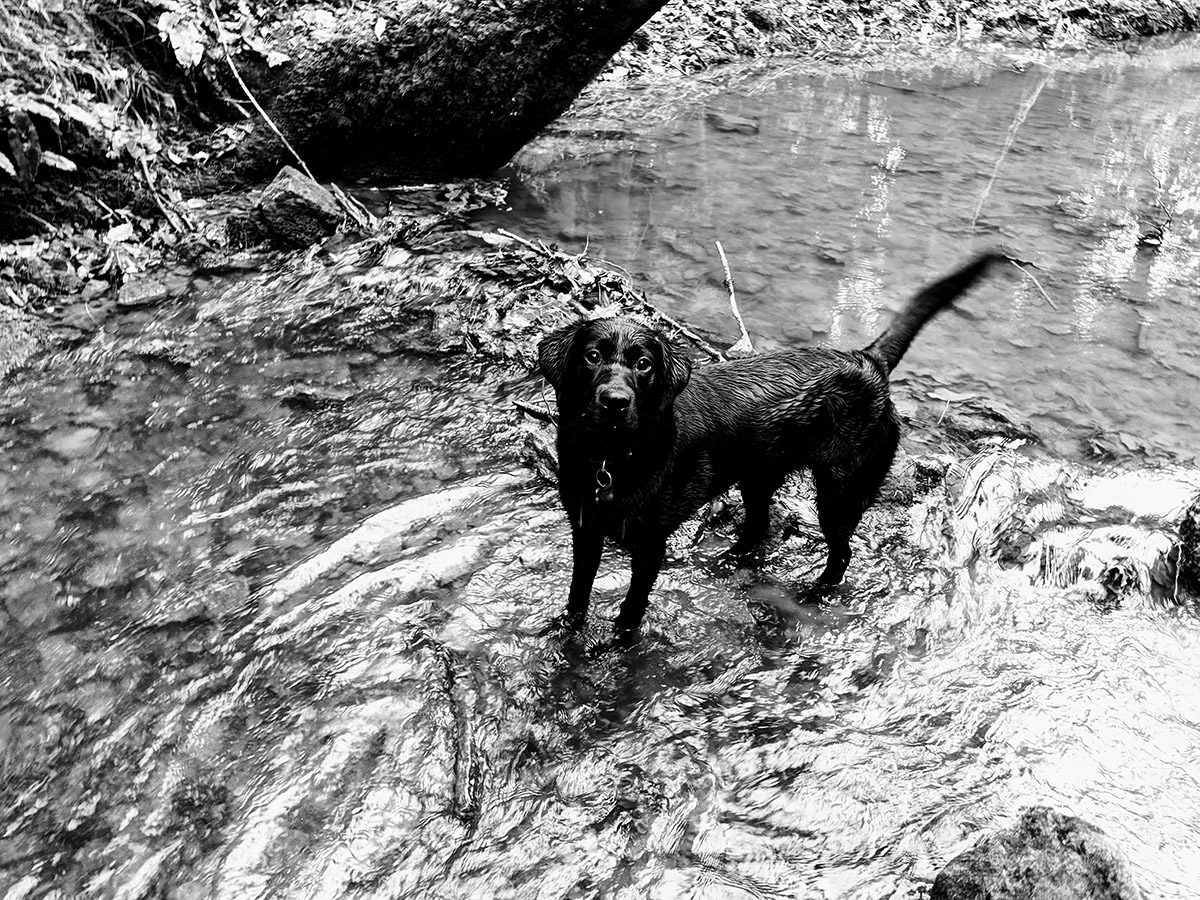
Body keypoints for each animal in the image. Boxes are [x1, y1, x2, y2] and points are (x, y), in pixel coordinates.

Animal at [537, 250, 1003, 638]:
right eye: (592, 357)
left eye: (644, 365)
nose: (615, 401)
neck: (610, 457)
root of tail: (868, 360)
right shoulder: (585, 529)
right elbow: (578, 591)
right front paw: (566, 630)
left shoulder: (650, 546)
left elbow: (632, 606)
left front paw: (617, 643)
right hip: (759, 474)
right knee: (759, 524)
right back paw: (730, 560)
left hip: (839, 490)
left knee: (842, 552)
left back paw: (816, 592)